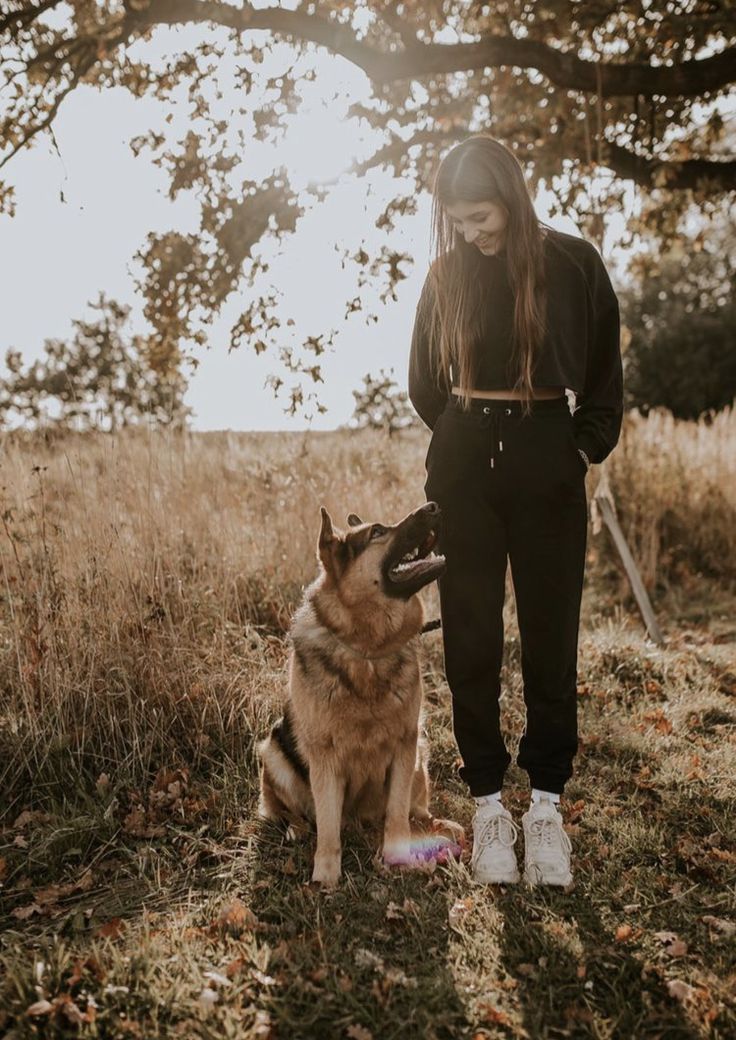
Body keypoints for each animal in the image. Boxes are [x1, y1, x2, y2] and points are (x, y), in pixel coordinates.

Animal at [258, 499, 463, 881]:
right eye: (377, 532)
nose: (434, 505)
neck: (367, 651)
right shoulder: (324, 758)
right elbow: (327, 823)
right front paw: (325, 876)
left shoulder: (404, 744)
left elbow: (397, 812)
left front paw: (398, 855)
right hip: (273, 751)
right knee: (287, 810)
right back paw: (295, 828)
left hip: (420, 754)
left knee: (416, 808)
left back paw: (436, 823)